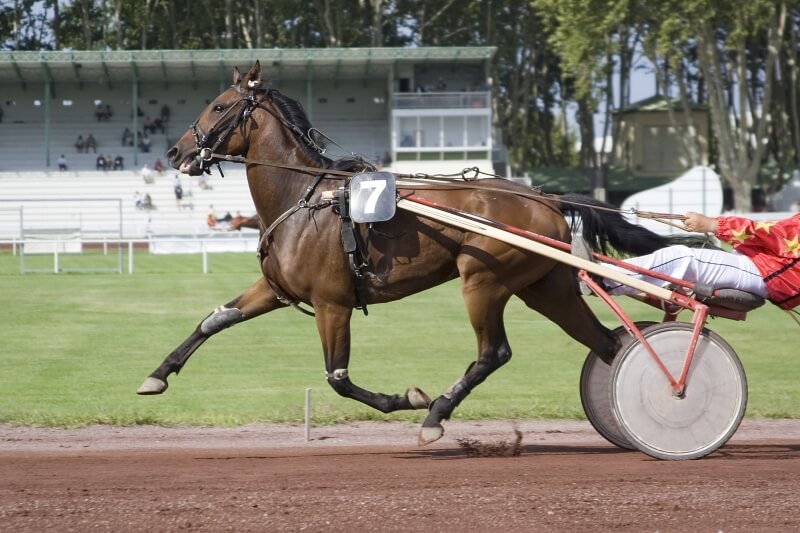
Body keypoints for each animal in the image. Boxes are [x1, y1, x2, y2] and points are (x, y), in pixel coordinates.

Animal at [141, 62, 680, 444]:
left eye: (218, 106)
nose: (174, 153)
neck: (304, 197)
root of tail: (545, 198)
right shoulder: (276, 289)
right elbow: (214, 320)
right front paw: (156, 376)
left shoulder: (332, 304)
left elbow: (338, 377)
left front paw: (411, 399)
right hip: (544, 287)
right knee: (606, 343)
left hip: (482, 281)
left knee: (494, 352)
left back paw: (437, 414)